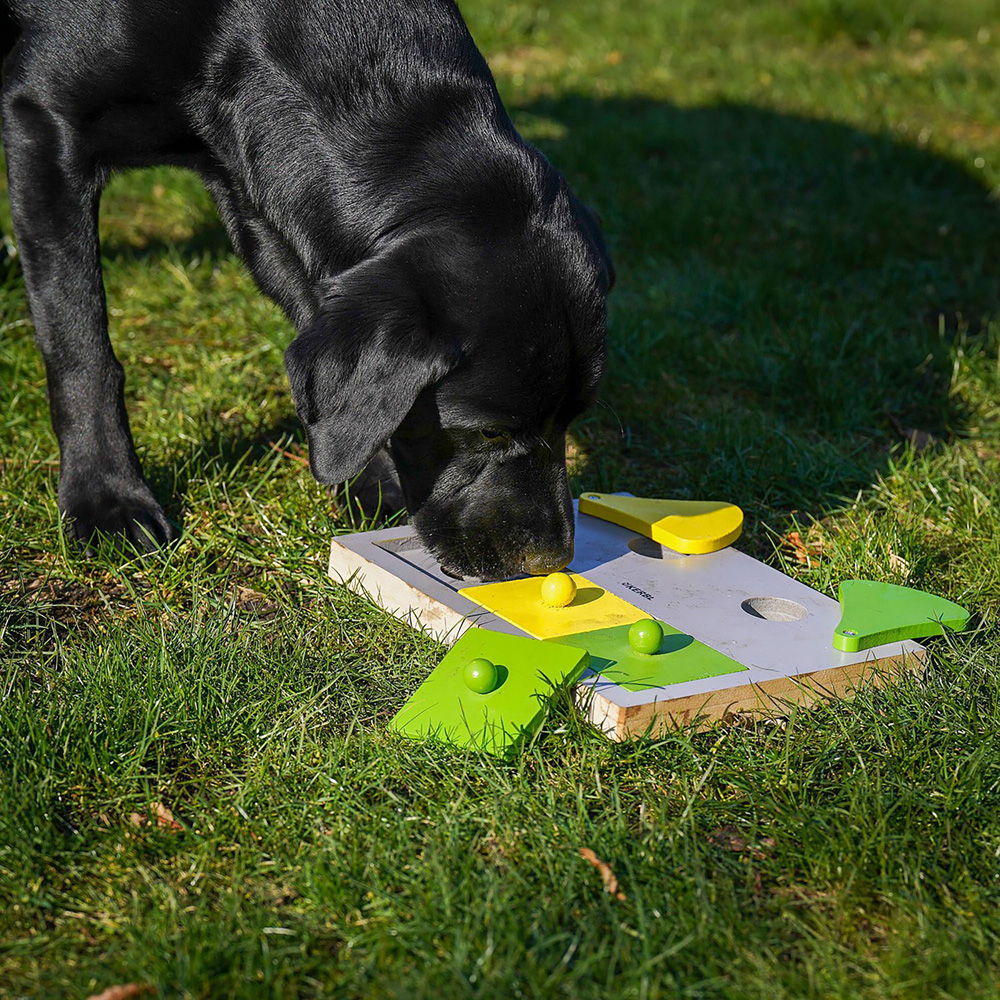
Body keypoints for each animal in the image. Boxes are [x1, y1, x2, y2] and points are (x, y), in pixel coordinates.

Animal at [0, 1, 612, 580]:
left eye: (573, 420)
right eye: (487, 433)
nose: (553, 562)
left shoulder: (254, 191)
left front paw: (370, 484)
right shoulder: (43, 120)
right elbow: (80, 342)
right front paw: (105, 498)